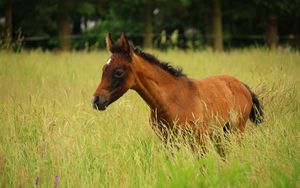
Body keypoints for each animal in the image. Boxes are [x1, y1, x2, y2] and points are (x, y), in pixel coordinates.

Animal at [91, 32, 262, 151]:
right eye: (103, 69)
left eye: (118, 72)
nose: (95, 100)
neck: (170, 101)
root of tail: (243, 85)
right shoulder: (168, 141)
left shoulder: (198, 139)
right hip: (221, 134)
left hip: (236, 131)